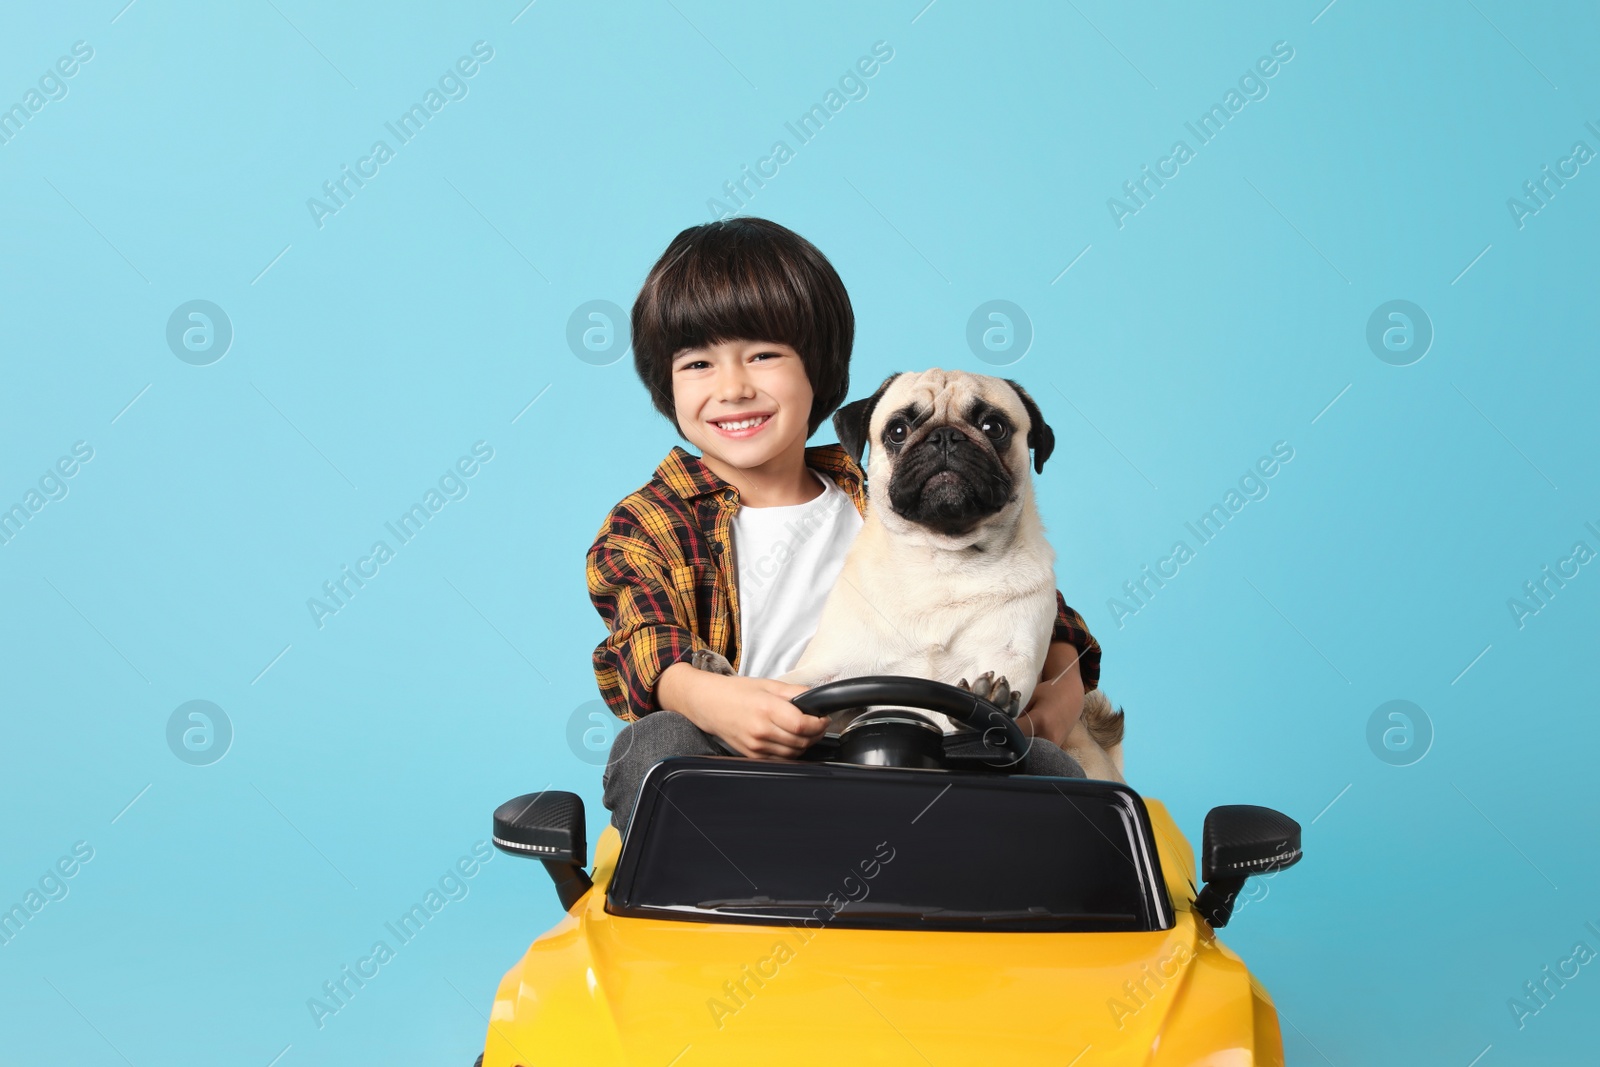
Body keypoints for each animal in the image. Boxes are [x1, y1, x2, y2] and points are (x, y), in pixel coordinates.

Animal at [784, 371, 1132, 780]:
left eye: (993, 427)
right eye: (898, 431)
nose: (946, 437)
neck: (944, 559)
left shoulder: (1012, 656)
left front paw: (988, 700)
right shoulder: (830, 670)